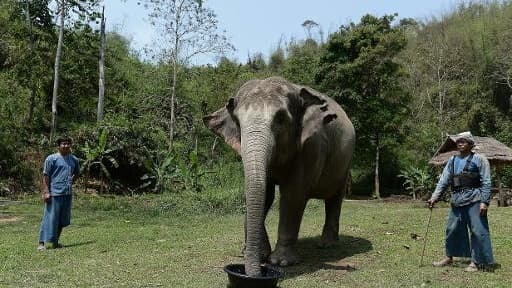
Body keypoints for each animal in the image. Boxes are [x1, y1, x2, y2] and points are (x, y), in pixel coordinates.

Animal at [202, 76, 354, 276]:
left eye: (281, 119)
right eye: (238, 122)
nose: (254, 273)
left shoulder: (311, 146)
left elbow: (293, 194)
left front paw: (281, 262)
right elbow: (265, 194)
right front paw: (259, 255)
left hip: (346, 163)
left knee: (335, 199)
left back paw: (327, 245)